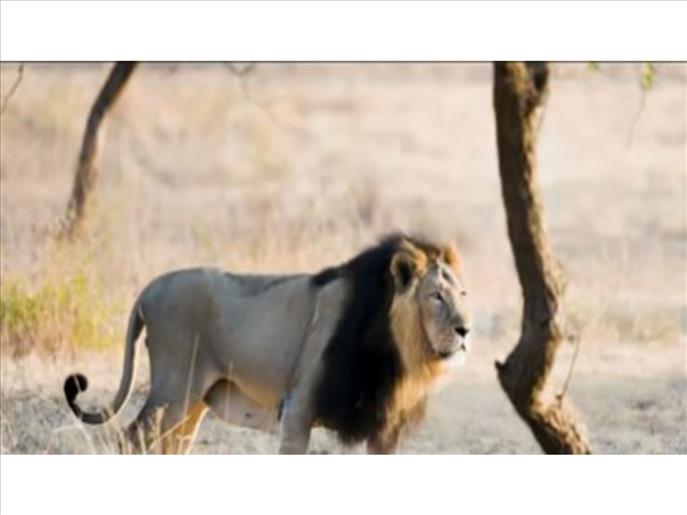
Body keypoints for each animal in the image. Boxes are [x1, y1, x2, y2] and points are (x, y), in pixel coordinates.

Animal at [64, 234, 471, 454]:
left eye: (462, 294)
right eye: (436, 296)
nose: (465, 330)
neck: (401, 353)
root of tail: (150, 288)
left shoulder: (386, 428)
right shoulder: (298, 407)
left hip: (193, 401)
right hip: (173, 389)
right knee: (131, 440)